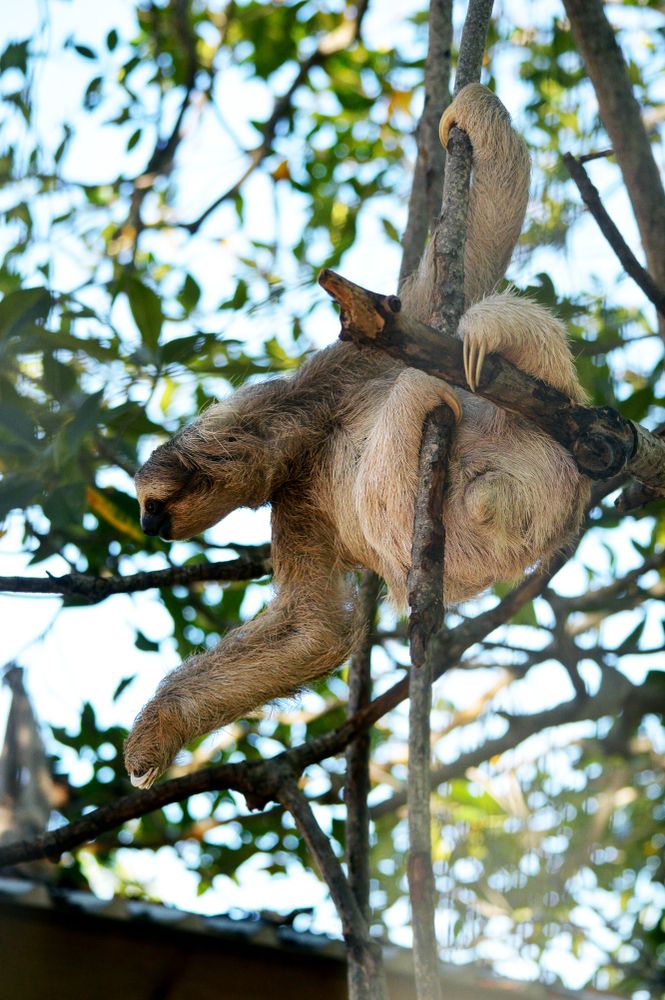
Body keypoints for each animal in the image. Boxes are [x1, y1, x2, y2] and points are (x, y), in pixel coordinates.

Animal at [124, 84, 590, 789]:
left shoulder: (334, 375)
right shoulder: (299, 497)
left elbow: (443, 283)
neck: (300, 436)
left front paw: (471, 111)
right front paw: (156, 735)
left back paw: (479, 357)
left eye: (154, 502)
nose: (150, 528)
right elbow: (309, 629)